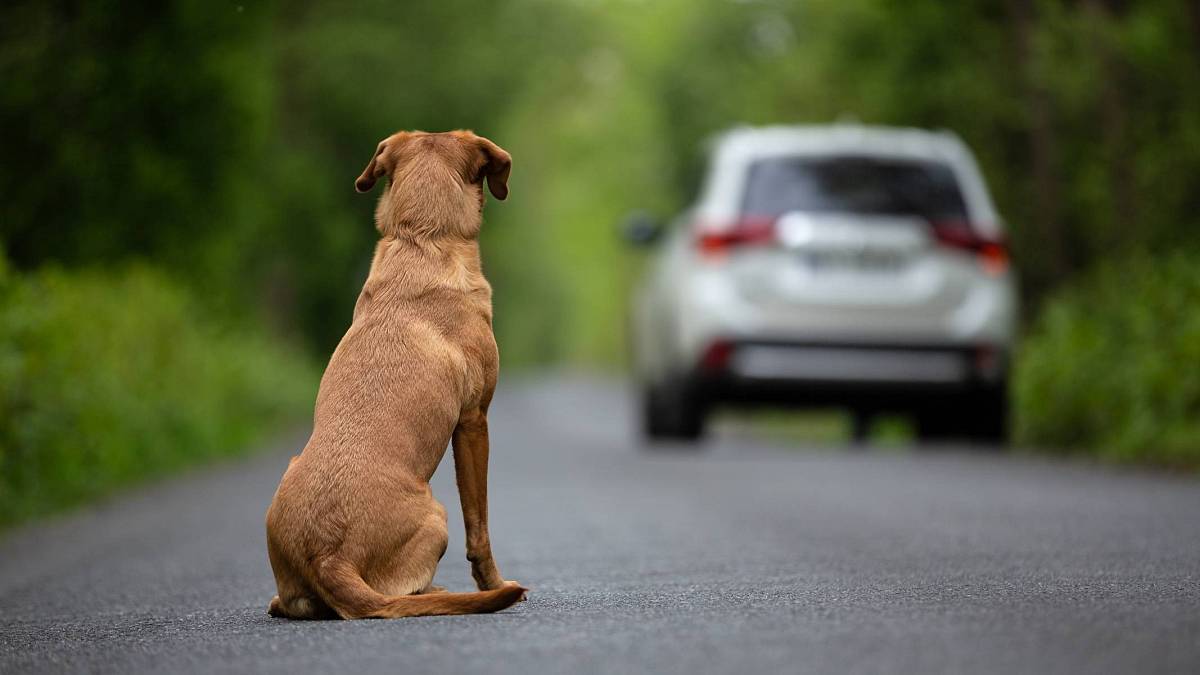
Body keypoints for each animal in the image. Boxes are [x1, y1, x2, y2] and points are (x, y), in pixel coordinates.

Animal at [262, 128, 525, 619]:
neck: (421, 239)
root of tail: (328, 557)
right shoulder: (474, 421)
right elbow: (479, 526)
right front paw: (494, 583)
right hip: (437, 516)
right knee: (407, 592)